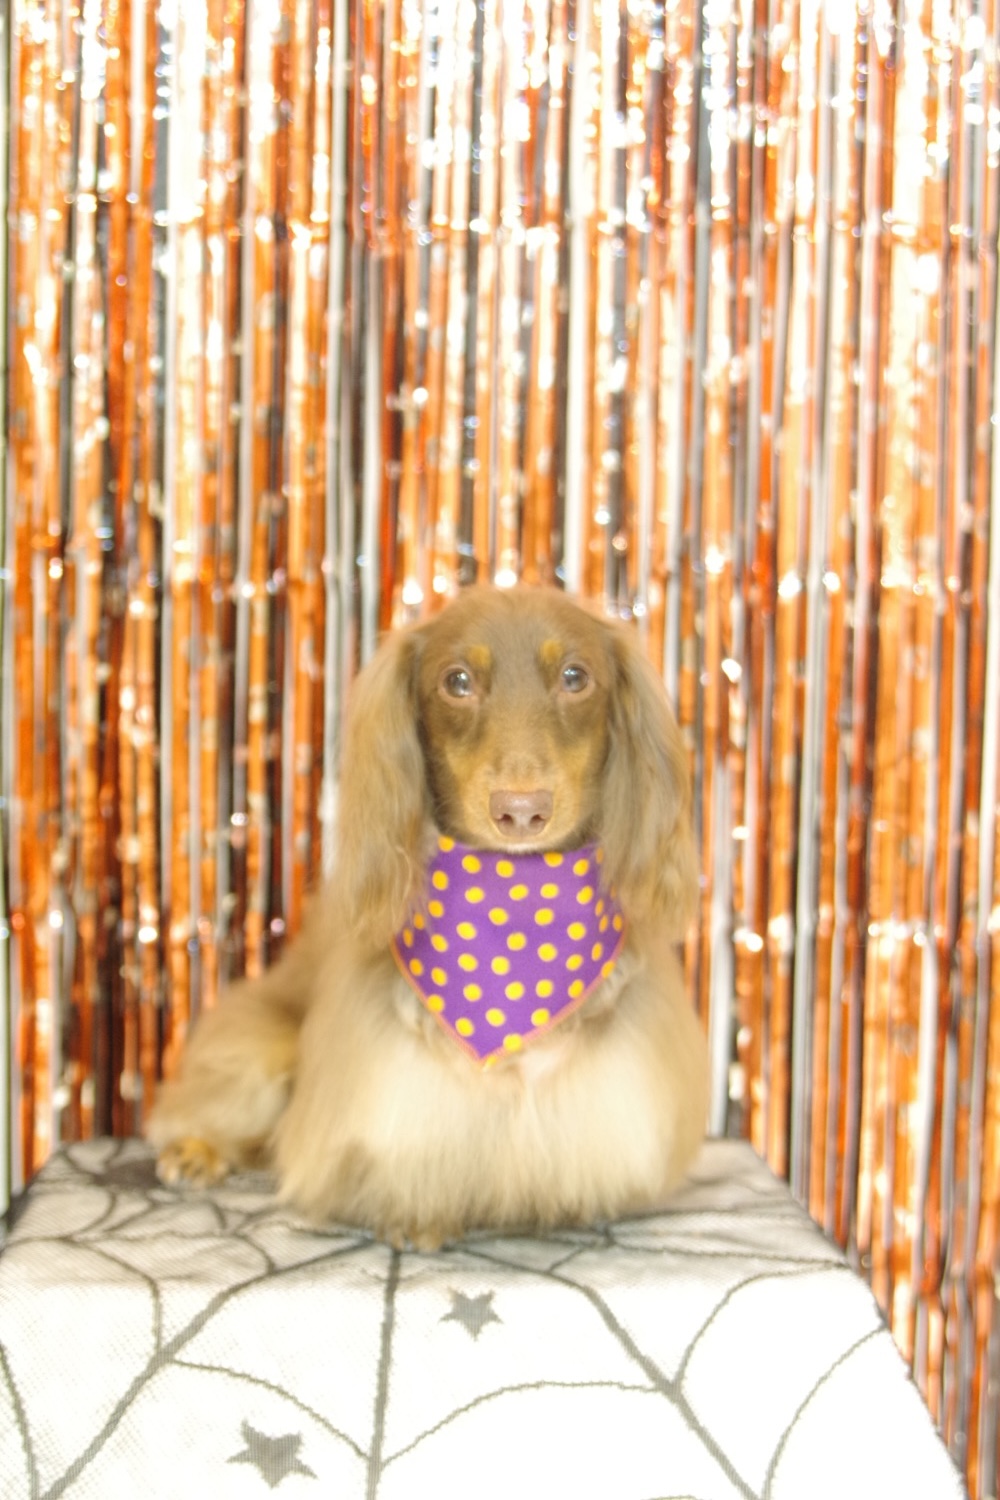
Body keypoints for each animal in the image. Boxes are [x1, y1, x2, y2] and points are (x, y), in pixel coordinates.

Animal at [146, 585, 708, 1248]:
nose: (521, 811)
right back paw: (195, 1149)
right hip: (263, 1049)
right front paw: (416, 1214)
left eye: (575, 677)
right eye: (457, 681)